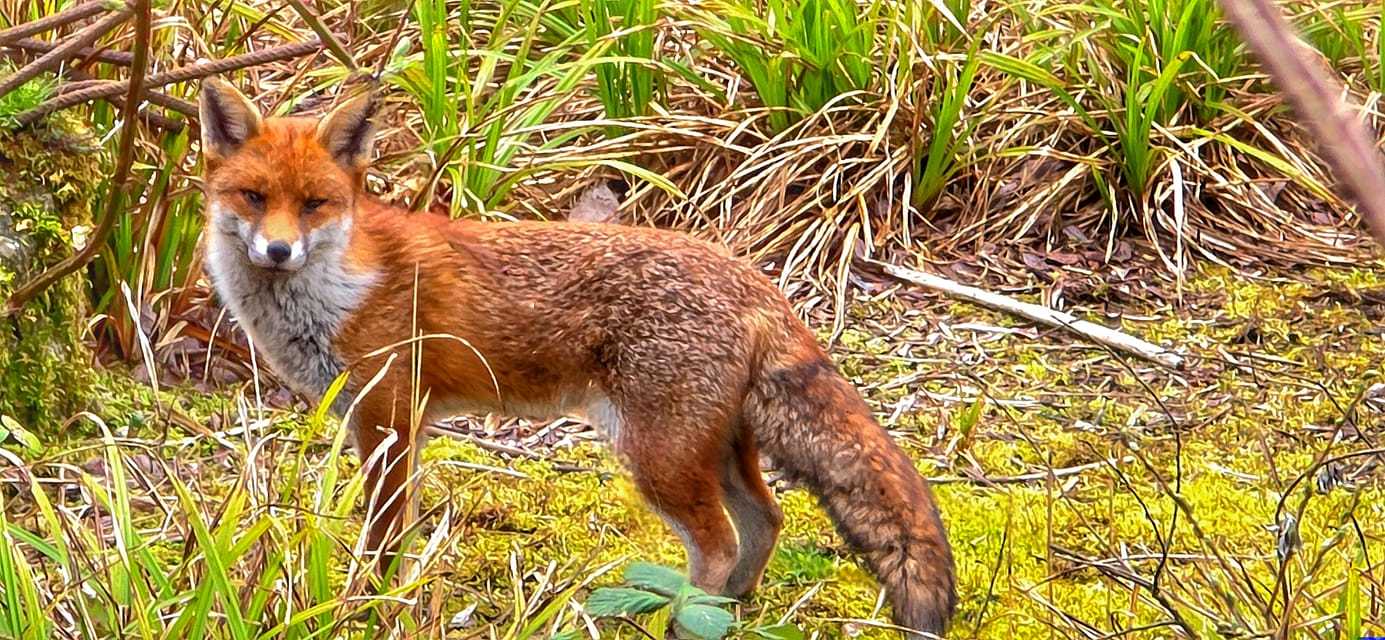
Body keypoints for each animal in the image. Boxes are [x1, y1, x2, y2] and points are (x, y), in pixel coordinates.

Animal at [195, 78, 952, 634]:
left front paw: (368, 603)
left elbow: (384, 538)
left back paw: (684, 620)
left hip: (656, 454)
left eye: (314, 203)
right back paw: (731, 610)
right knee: (766, 521)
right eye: (254, 197)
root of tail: (754, 277)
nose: (278, 251)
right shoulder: (380, 420)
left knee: (720, 542)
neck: (338, 289)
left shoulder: (390, 418)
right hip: (712, 447)